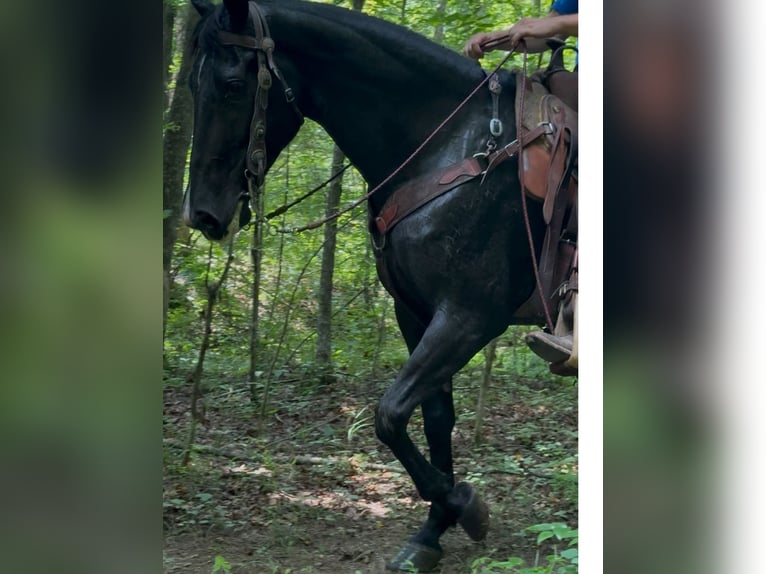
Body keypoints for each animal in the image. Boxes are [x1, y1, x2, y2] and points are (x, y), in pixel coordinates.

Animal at [183, 0, 564, 570]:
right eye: (190, 83)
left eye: (231, 85)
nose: (201, 214)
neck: (450, 150)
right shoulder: (416, 313)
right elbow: (431, 418)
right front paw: (432, 531)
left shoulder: (469, 318)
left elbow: (389, 415)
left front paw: (467, 506)